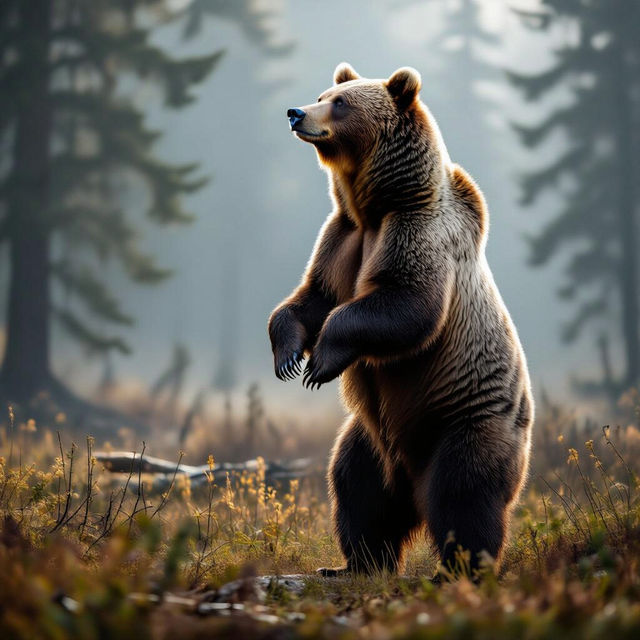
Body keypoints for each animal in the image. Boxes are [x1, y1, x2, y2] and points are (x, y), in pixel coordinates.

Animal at [268, 62, 533, 578]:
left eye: (340, 104)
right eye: (322, 95)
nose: (295, 113)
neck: (376, 204)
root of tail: (409, 476)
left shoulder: (417, 230)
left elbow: (408, 303)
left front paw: (320, 362)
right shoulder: (342, 237)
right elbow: (313, 297)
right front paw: (288, 356)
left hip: (465, 420)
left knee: (463, 496)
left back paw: (457, 570)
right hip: (370, 436)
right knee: (356, 488)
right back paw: (355, 564)